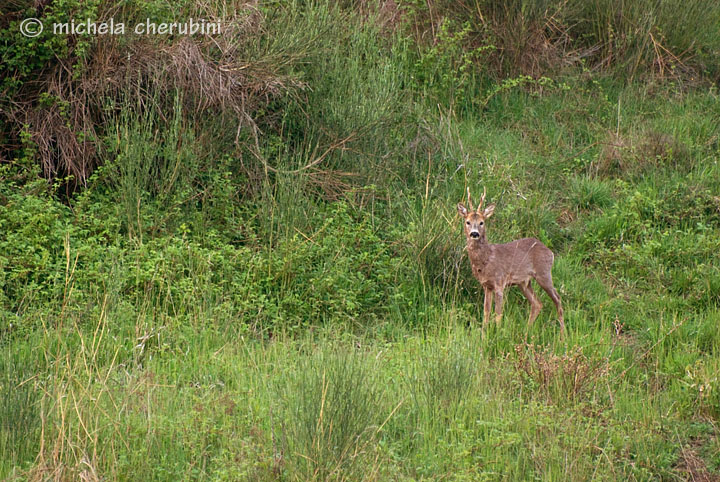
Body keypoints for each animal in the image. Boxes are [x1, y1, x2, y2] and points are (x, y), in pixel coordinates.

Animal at [458, 187, 564, 332]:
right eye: (467, 222)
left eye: (481, 222)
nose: (474, 233)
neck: (486, 260)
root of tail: (550, 252)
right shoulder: (486, 285)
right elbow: (486, 313)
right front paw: (484, 334)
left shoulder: (499, 282)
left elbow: (498, 313)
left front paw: (498, 334)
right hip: (524, 282)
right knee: (537, 303)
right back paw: (526, 331)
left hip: (544, 273)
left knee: (557, 299)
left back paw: (563, 335)